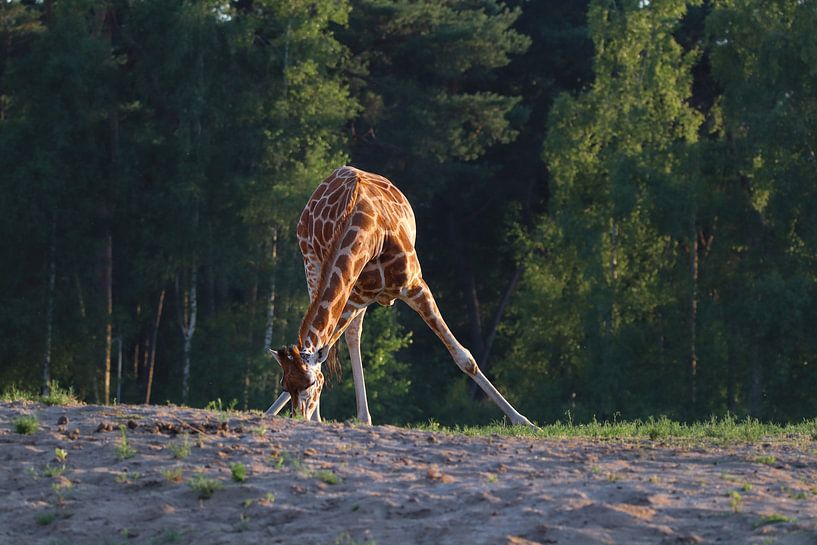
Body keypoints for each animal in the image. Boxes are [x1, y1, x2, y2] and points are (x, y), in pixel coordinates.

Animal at [267, 166, 533, 427]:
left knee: (350, 335)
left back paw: (361, 417)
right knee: (344, 335)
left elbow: (464, 357)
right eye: (285, 385)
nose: (299, 417)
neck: (369, 235)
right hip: (313, 266)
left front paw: (524, 421)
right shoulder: (356, 294)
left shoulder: (415, 286)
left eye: (310, 383)